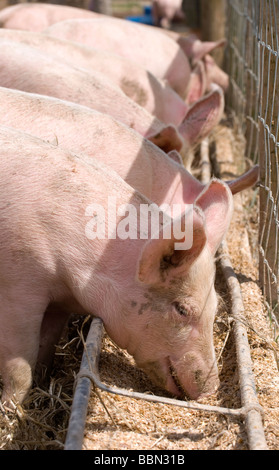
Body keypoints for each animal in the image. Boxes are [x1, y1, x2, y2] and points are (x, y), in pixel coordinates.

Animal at [0, 125, 234, 404]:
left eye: (215, 306)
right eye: (182, 309)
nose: (211, 390)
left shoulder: (58, 303)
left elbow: (47, 345)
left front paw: (42, 382)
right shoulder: (19, 286)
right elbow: (20, 367)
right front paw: (12, 409)